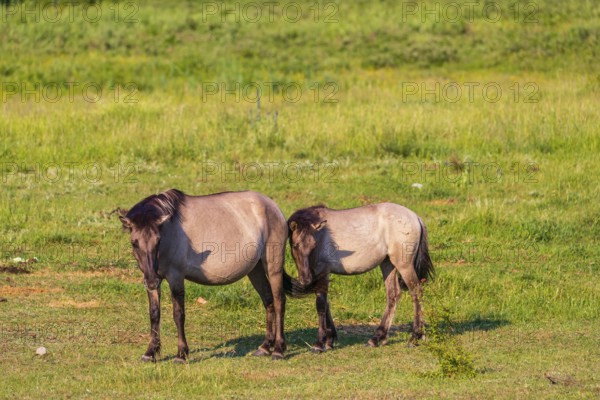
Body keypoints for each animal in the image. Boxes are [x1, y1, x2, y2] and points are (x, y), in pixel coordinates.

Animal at [119, 189, 288, 360]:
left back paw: (278, 350)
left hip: (273, 267)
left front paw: (181, 354)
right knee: (268, 300)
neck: (170, 230)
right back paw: (265, 347)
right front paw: (150, 352)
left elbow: (178, 314)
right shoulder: (153, 277)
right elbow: (154, 313)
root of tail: (272, 205)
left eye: (158, 241)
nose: (152, 282)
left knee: (279, 302)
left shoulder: (176, 277)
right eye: (134, 242)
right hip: (255, 270)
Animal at [288, 205, 434, 352]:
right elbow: (326, 303)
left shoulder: (323, 272)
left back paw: (415, 336)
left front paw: (319, 343)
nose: (306, 279)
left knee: (416, 293)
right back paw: (377, 338)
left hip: (404, 266)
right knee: (393, 295)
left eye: (314, 245)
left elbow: (321, 304)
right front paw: (330, 340)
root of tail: (415, 217)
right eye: (295, 245)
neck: (321, 235)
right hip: (388, 264)